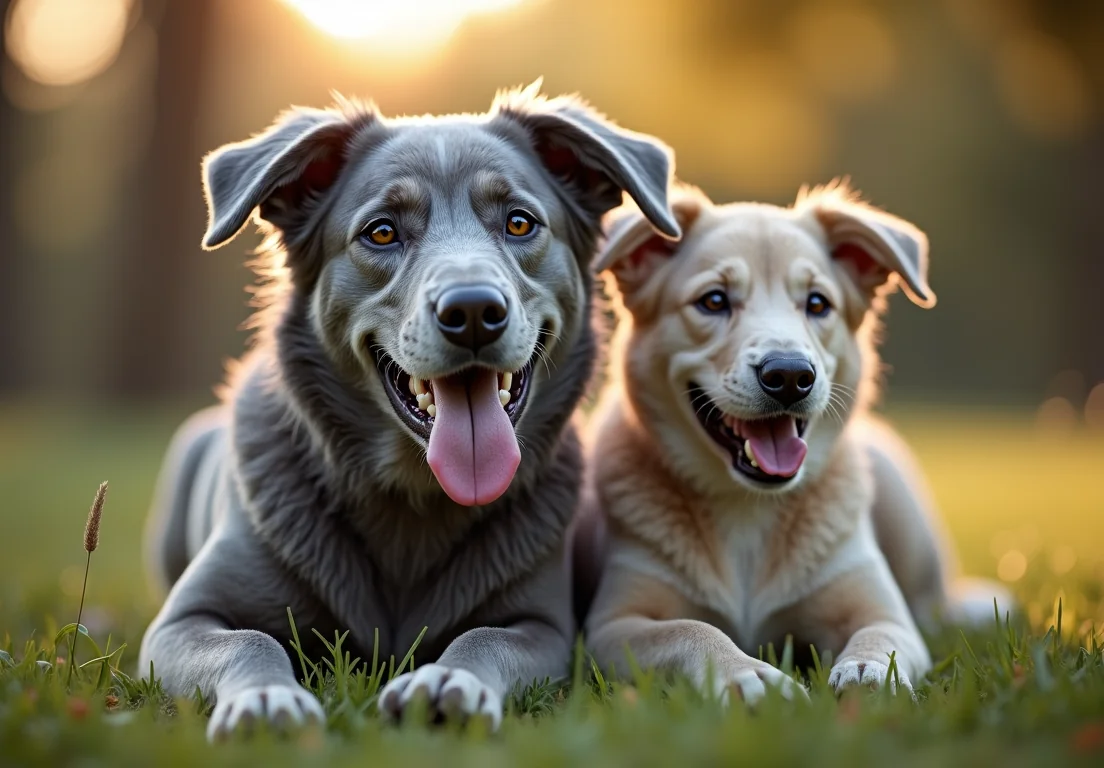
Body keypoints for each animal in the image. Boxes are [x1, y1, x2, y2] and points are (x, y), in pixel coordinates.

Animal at [133, 85, 675, 745]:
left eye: (520, 222)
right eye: (382, 232)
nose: (473, 310)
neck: (416, 499)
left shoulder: (542, 626)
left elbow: (482, 637)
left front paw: (447, 682)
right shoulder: (181, 621)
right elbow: (250, 641)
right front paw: (266, 698)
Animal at [582, 180, 1011, 701]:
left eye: (817, 304)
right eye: (713, 301)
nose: (789, 375)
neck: (747, 505)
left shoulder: (879, 608)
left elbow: (882, 633)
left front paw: (869, 670)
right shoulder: (612, 626)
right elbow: (690, 629)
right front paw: (747, 674)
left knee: (933, 601)